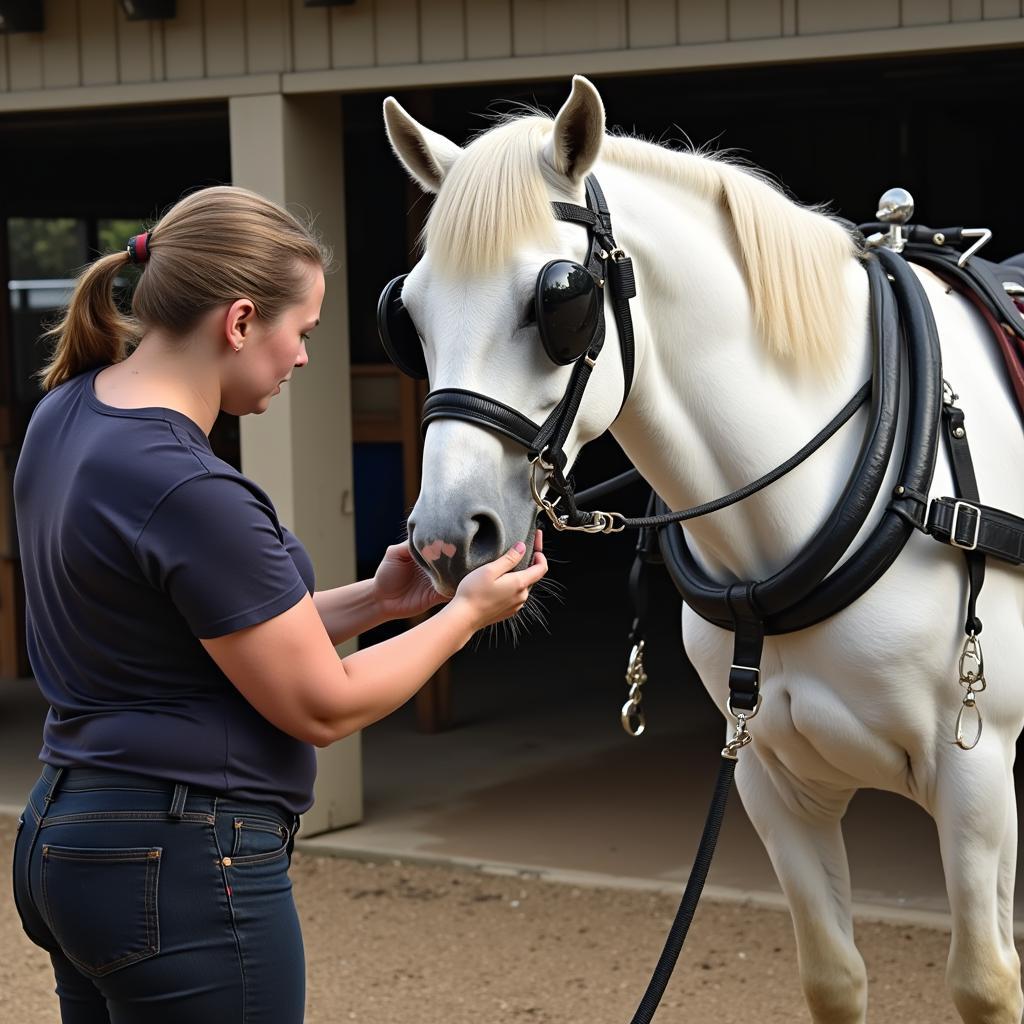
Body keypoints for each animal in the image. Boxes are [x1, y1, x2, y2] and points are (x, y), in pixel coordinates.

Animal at [385, 75, 1024, 1019]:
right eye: (409, 312)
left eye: (560, 296)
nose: (445, 539)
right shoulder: (771, 777)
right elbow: (833, 976)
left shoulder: (974, 776)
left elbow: (985, 980)